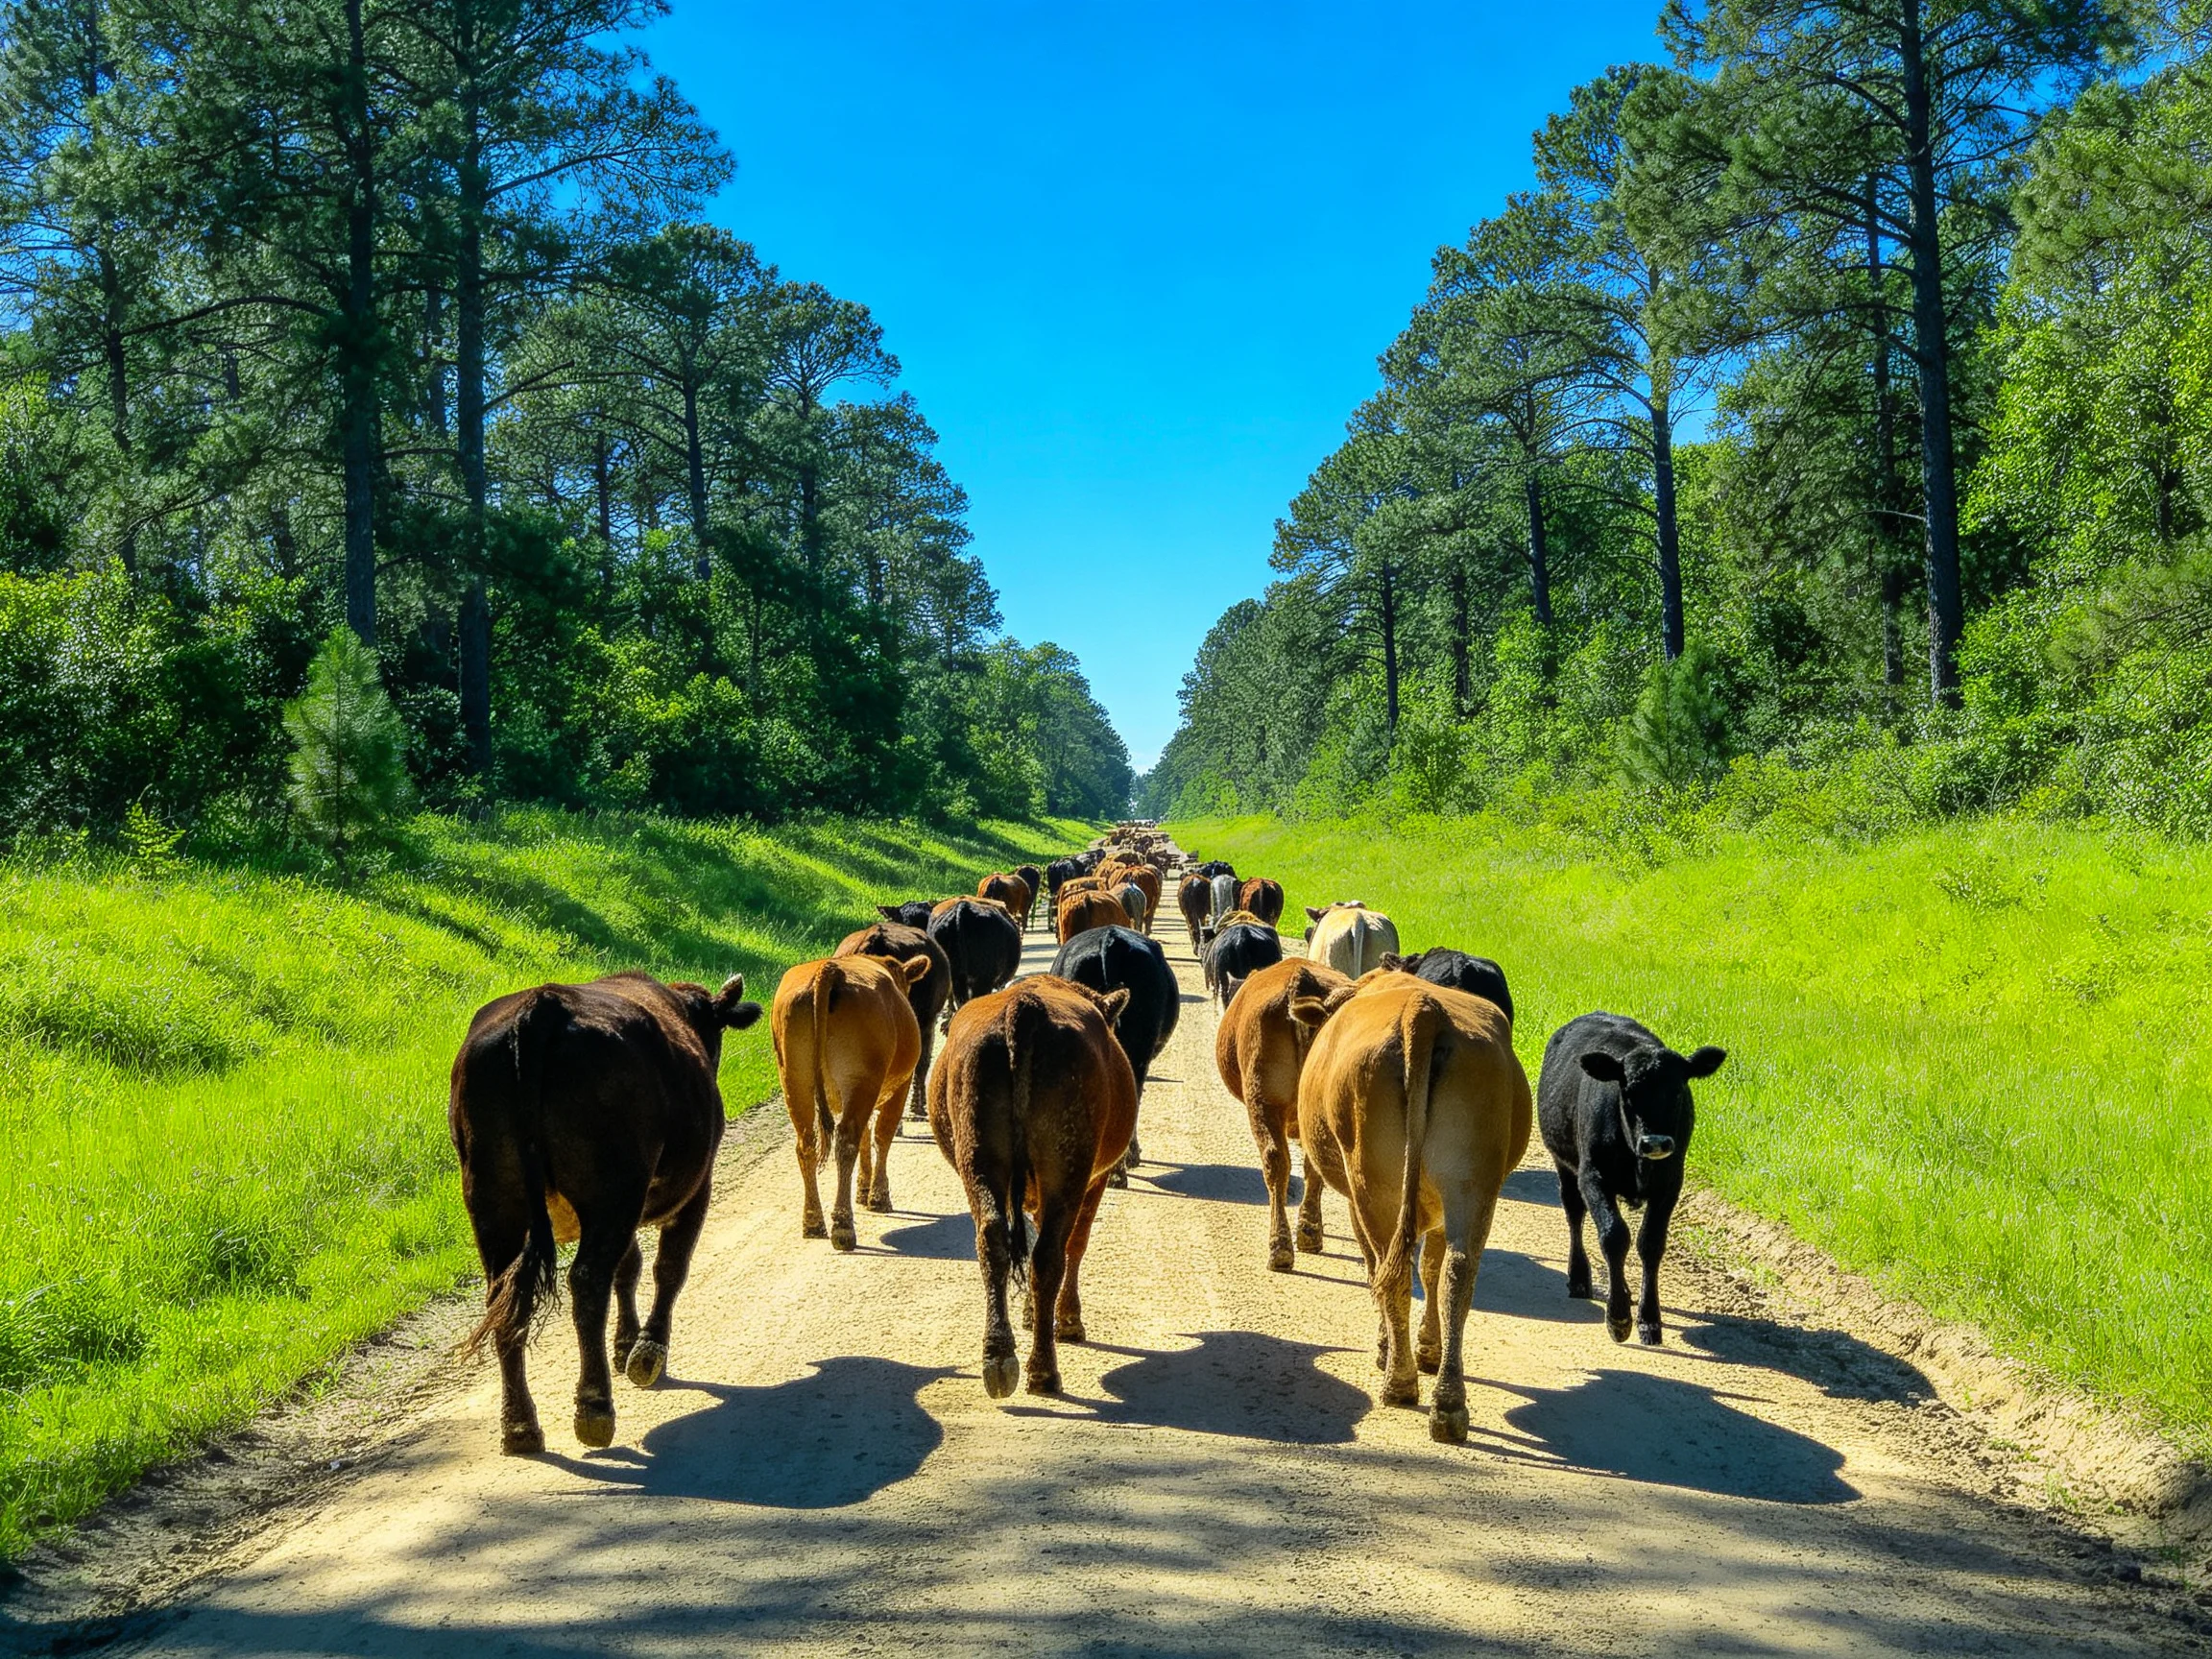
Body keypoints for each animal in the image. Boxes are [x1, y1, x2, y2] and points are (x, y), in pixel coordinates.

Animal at [450, 970, 764, 1453]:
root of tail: (544, 1006)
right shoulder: (694, 1188)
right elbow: (669, 1266)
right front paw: (646, 1352)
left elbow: (629, 1266)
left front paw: (625, 1344)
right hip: (611, 1190)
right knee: (587, 1282)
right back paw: (594, 1407)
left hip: (493, 1200)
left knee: (505, 1300)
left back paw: (520, 1427)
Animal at [772, 954, 931, 1251]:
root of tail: (829, 968)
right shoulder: (899, 1088)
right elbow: (881, 1135)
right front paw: (878, 1196)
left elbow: (867, 1137)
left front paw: (864, 1189)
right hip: (861, 1080)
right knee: (847, 1142)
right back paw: (843, 1227)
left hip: (794, 1079)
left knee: (807, 1144)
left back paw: (813, 1222)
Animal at [928, 976, 1137, 1398]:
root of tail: (1023, 1009)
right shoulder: (1094, 1179)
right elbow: (1076, 1243)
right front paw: (1067, 1319)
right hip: (1068, 1171)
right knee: (1052, 1255)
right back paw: (1043, 1370)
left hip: (978, 1159)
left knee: (993, 1241)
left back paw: (999, 1361)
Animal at [1299, 977, 1531, 1442]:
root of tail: (1422, 1011)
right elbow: (1433, 1268)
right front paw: (1428, 1348)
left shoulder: (1356, 1202)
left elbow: (1379, 1268)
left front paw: (1387, 1347)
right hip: (1472, 1183)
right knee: (1458, 1275)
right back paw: (1448, 1404)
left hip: (1374, 1186)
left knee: (1392, 1273)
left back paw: (1400, 1381)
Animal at [1539, 1013, 1725, 1347]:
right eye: (1627, 1092)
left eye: (1678, 1091)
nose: (1656, 1143)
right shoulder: (1592, 1177)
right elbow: (1614, 1237)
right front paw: (1619, 1317)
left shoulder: (1670, 1183)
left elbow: (1650, 1243)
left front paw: (1649, 1319)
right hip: (1565, 1165)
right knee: (1574, 1214)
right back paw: (1579, 1278)